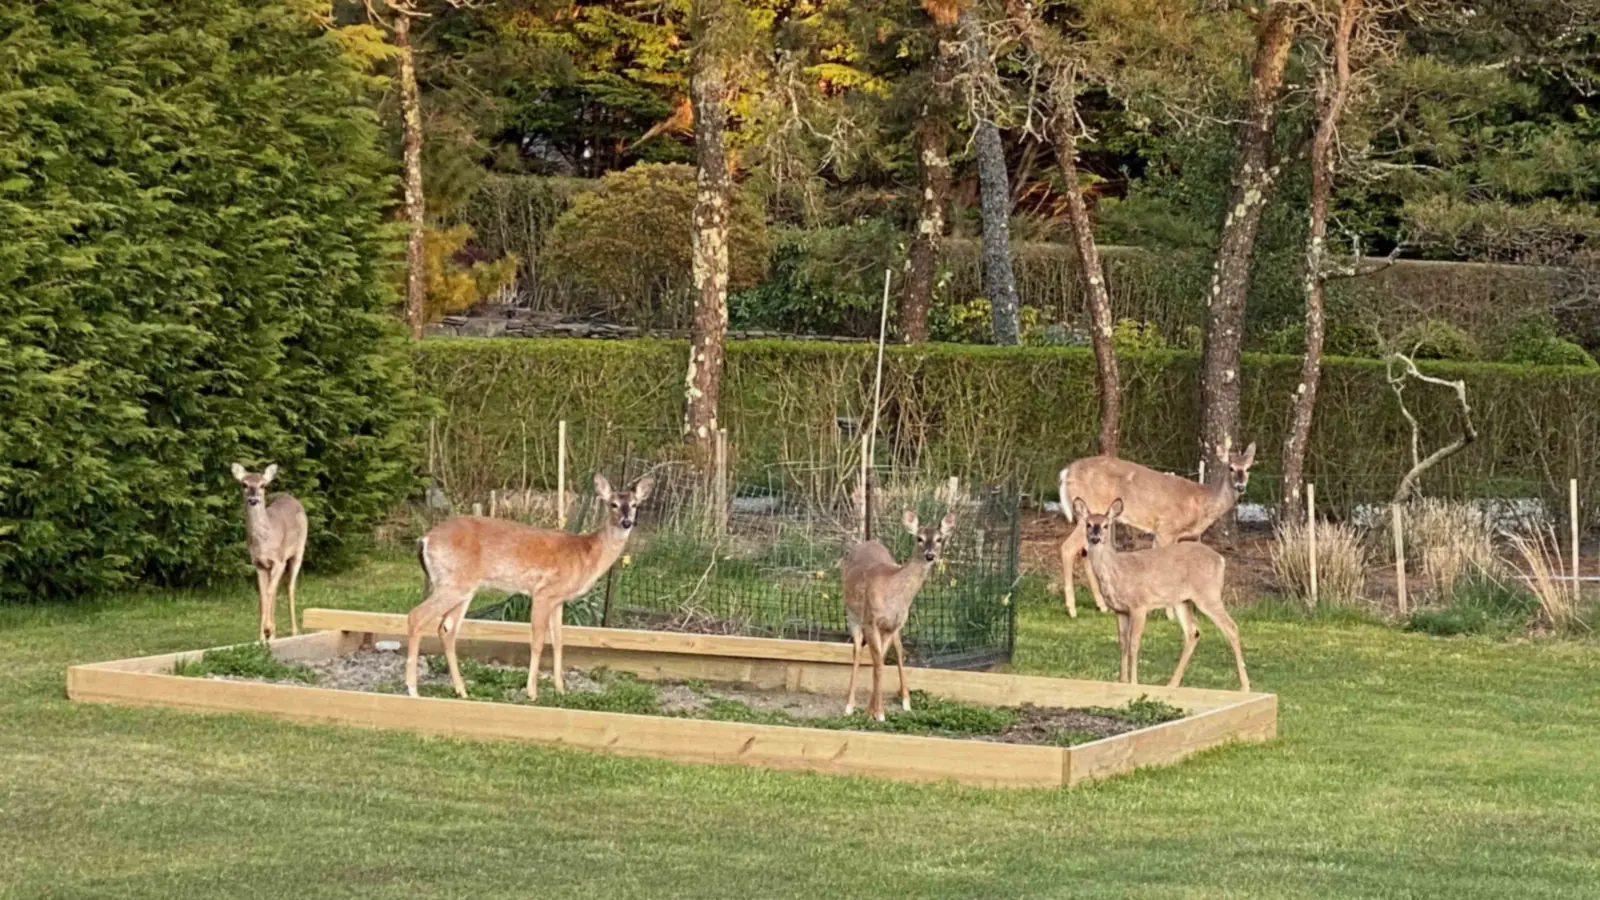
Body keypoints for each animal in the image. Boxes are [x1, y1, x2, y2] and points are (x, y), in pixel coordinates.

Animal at [231, 463, 308, 642]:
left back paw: (294, 630)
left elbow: (269, 591)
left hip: (298, 551)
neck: (264, 542)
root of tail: (291, 498)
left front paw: (267, 629)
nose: (253, 500)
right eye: (244, 484)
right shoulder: (259, 564)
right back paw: (273, 633)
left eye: (263, 485)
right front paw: (262, 635)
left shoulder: (279, 560)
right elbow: (263, 596)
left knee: (289, 586)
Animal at [404, 474, 653, 702]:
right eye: (612, 504)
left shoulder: (559, 600)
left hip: (462, 587)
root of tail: (424, 539)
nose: (627, 522)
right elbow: (537, 642)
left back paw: (461, 690)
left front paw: (561, 689)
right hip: (453, 583)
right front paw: (532, 692)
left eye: (634, 505)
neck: (586, 554)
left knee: (447, 629)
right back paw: (413, 689)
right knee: (416, 616)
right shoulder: (543, 592)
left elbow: (559, 642)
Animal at [841, 510, 957, 721]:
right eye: (919, 538)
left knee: (896, 649)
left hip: (892, 627)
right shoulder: (871, 620)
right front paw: (878, 713)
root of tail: (867, 541)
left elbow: (881, 661)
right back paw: (849, 706)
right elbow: (877, 663)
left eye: (939, 539)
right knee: (857, 651)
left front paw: (874, 711)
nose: (930, 555)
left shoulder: (893, 625)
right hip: (852, 615)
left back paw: (903, 701)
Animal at [1058, 442, 1257, 618]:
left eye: (1248, 468)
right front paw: (1170, 614)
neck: (1201, 502)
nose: (1241, 486)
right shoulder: (1166, 528)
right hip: (1089, 511)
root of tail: (1066, 473)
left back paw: (1102, 606)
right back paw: (1072, 609)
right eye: (1231, 468)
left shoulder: (1175, 535)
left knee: (1084, 552)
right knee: (1068, 548)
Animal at [1073, 498, 1250, 693]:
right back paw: (1171, 684)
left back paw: (1245, 686)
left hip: (1208, 594)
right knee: (1193, 632)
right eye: (1088, 524)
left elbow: (1134, 643)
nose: (1095, 538)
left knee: (1231, 627)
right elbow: (1123, 643)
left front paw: (1134, 682)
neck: (1117, 570)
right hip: (1182, 600)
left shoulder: (1139, 605)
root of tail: (1221, 559)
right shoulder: (1120, 610)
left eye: (1106, 525)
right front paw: (1122, 681)